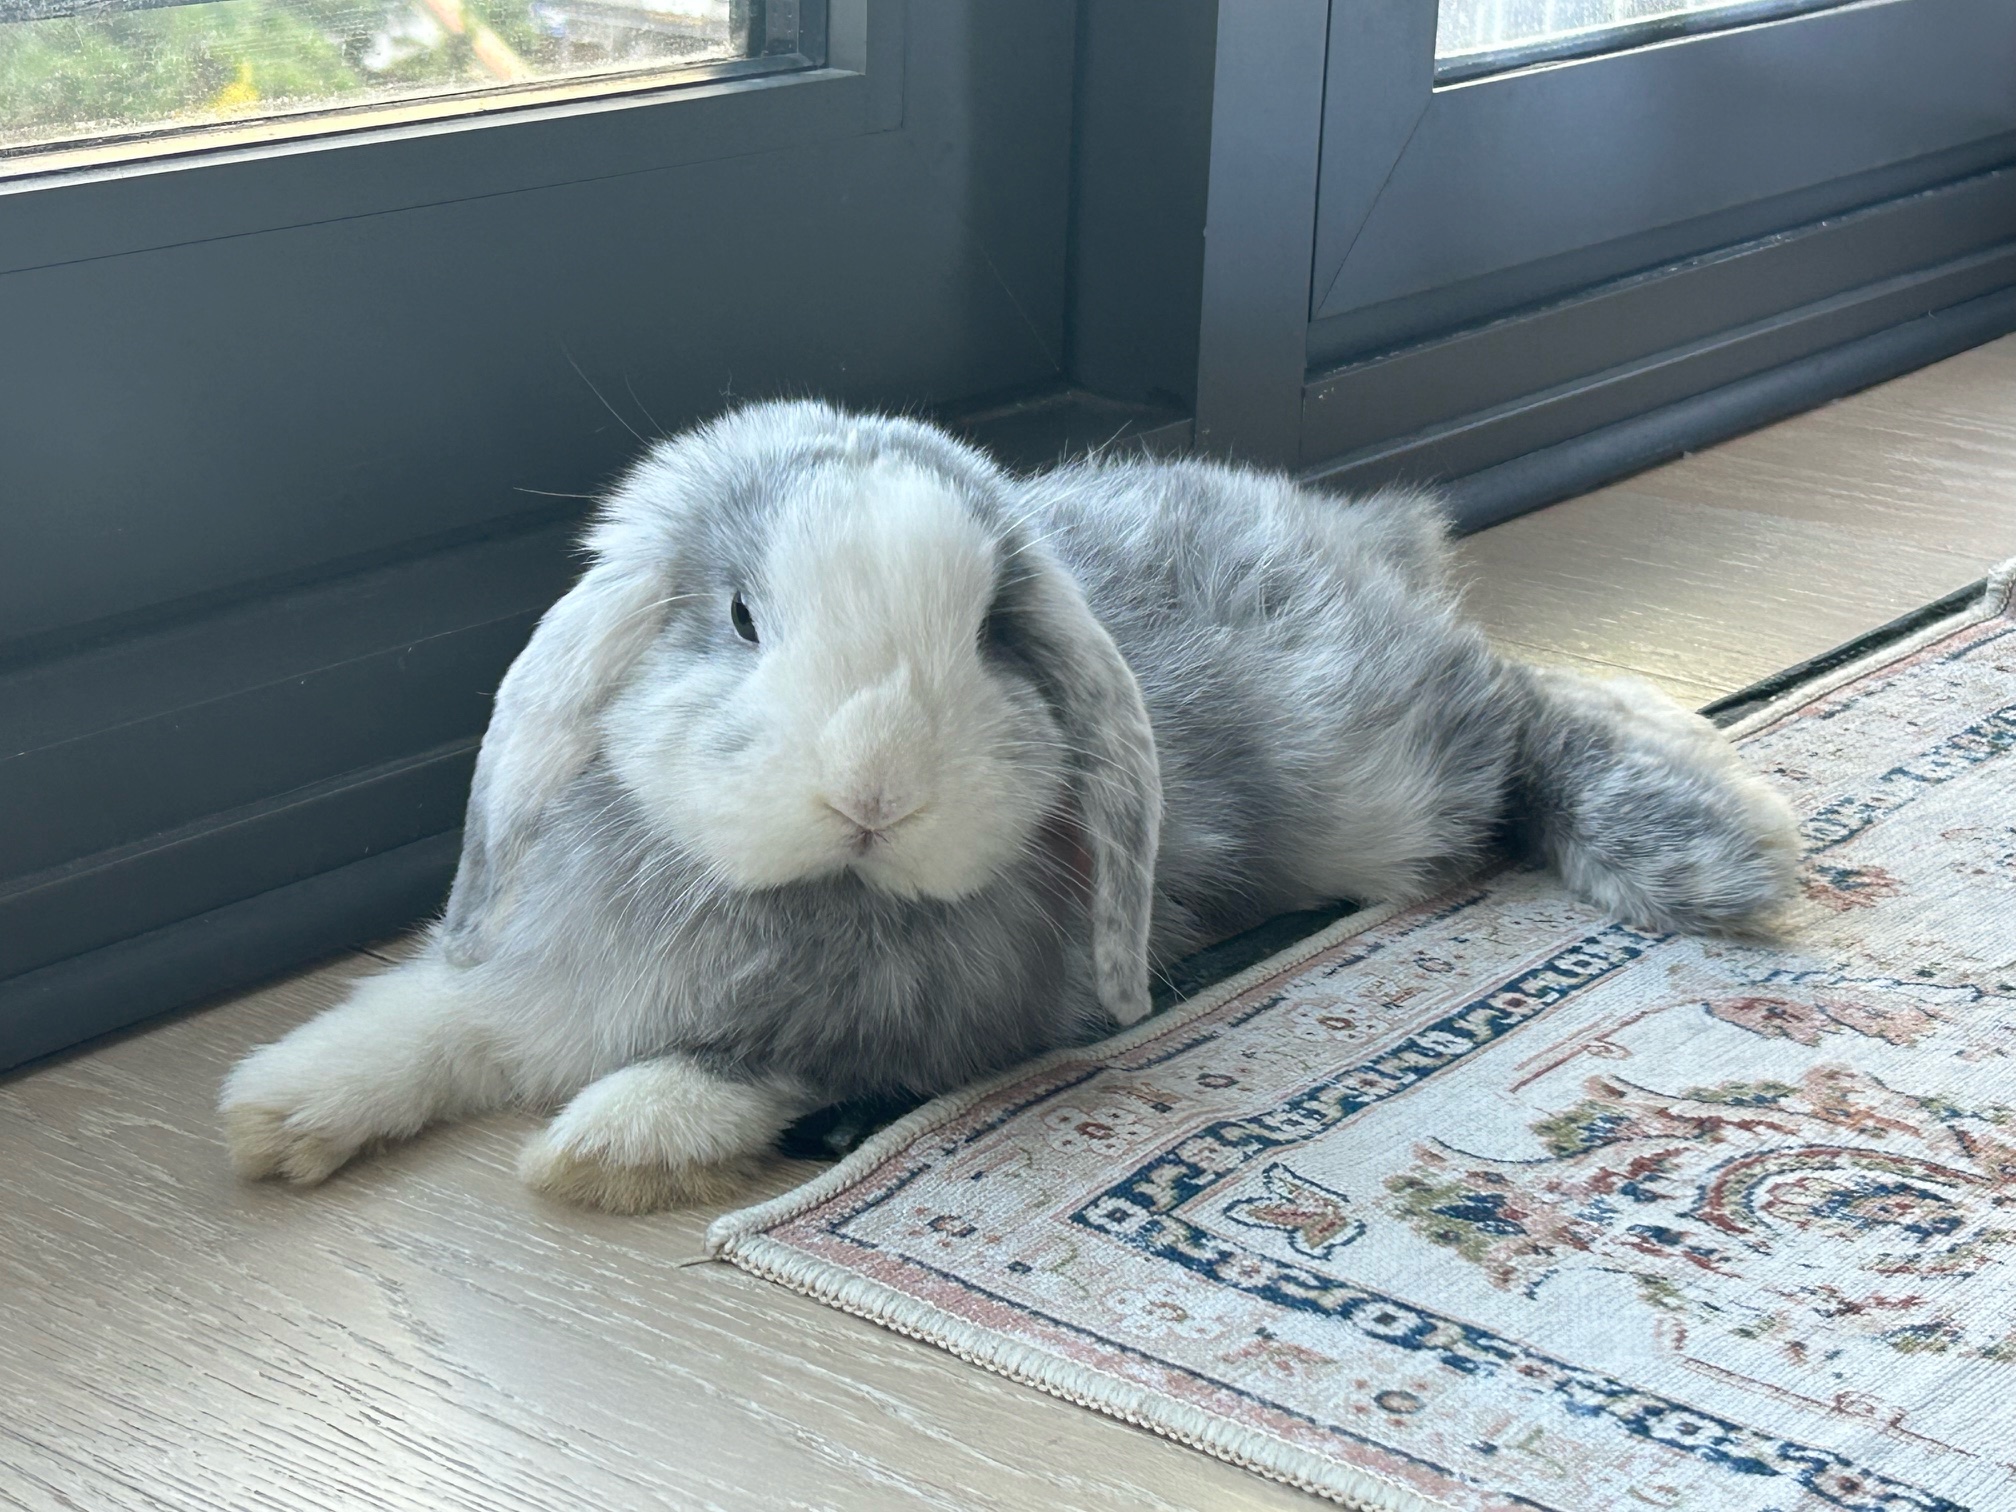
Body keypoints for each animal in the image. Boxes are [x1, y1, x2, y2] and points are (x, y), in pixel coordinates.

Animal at [220, 399, 1799, 1212]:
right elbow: (439, 1019)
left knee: (1520, 710)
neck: (803, 892)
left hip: (1390, 782)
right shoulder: (547, 971)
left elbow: (745, 1065)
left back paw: (1721, 818)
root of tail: (1349, 537)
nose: (874, 791)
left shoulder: (932, 1026)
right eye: (740, 616)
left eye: (990, 631)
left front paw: (598, 1150)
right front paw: (275, 1113)